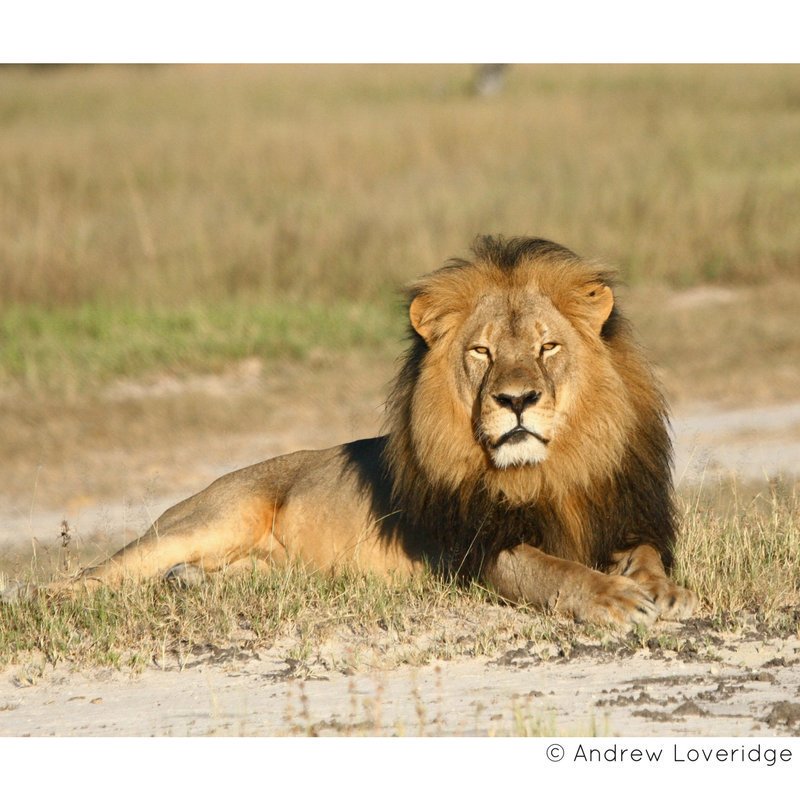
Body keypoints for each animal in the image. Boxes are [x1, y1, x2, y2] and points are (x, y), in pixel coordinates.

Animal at [40, 235, 696, 627]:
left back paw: (189, 585)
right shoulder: (475, 550)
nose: (516, 400)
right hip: (211, 518)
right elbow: (551, 570)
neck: (548, 471)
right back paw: (54, 600)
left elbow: (645, 553)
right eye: (482, 352)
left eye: (548, 346)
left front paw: (664, 590)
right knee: (103, 571)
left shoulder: (623, 514)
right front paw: (613, 598)